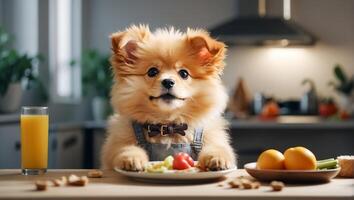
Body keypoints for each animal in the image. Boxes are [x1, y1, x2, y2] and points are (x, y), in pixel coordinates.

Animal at [101, 25, 236, 171]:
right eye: (152, 71)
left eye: (184, 73)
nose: (168, 81)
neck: (168, 125)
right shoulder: (118, 143)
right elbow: (125, 149)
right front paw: (132, 159)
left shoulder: (212, 138)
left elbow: (218, 148)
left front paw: (217, 159)